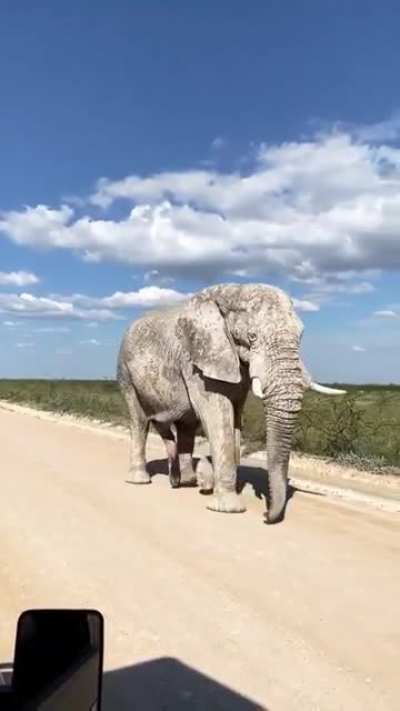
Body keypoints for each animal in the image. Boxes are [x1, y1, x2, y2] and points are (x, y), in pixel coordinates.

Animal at [117, 283, 345, 523]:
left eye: (301, 336)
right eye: (252, 337)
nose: (266, 515)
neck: (231, 292)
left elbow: (235, 417)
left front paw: (221, 490)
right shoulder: (196, 361)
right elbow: (218, 416)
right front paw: (228, 508)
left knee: (185, 426)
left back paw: (187, 482)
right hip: (125, 372)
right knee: (139, 421)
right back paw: (141, 480)